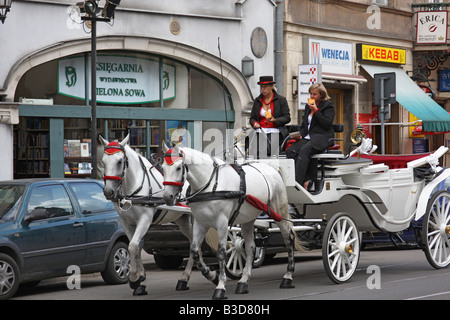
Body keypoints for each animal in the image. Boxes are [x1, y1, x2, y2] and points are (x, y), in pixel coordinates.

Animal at [101, 134, 198, 296]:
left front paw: (134, 279)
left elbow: (133, 246)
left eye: (120, 161)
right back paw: (185, 279)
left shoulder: (145, 220)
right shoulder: (126, 221)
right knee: (192, 243)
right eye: (103, 161)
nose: (109, 191)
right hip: (183, 220)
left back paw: (187, 277)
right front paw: (141, 280)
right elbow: (135, 247)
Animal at [162, 145, 302, 300]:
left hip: (279, 212)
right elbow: (194, 252)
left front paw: (220, 286)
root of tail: (272, 168)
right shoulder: (200, 222)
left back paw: (287, 277)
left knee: (289, 239)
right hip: (248, 219)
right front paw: (212, 275)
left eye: (178, 168)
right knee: (251, 247)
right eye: (162, 168)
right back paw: (243, 282)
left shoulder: (222, 223)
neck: (210, 185)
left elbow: (221, 253)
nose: (167, 197)